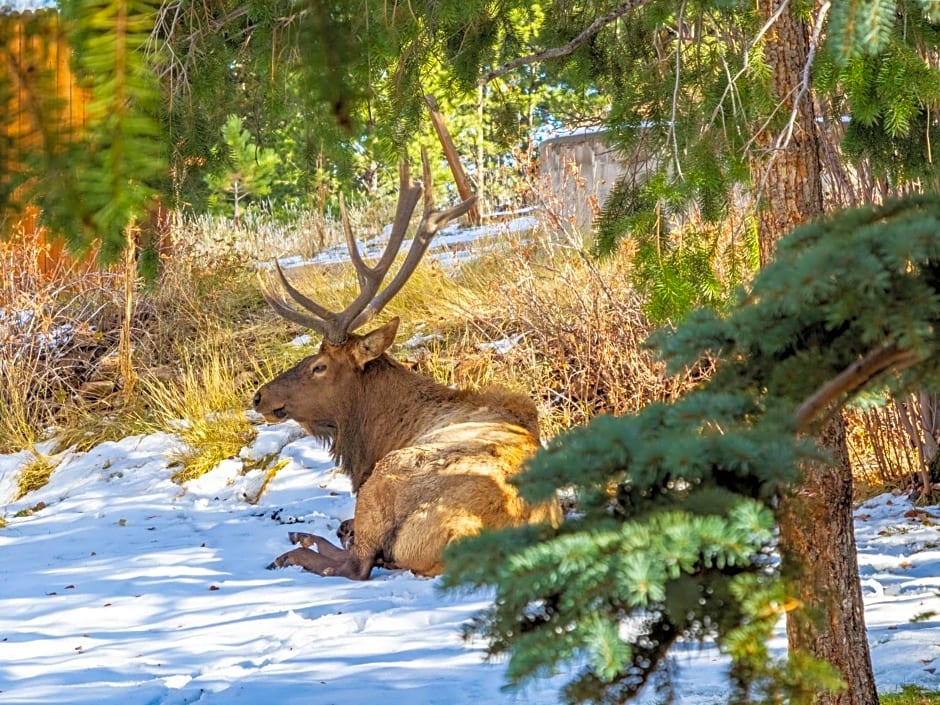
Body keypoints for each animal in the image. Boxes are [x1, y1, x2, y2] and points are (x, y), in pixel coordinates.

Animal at [253, 157, 560, 580]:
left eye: (319, 366)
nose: (259, 396)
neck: (376, 436)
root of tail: (463, 535)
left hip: (390, 478)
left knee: (356, 563)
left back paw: (295, 548)